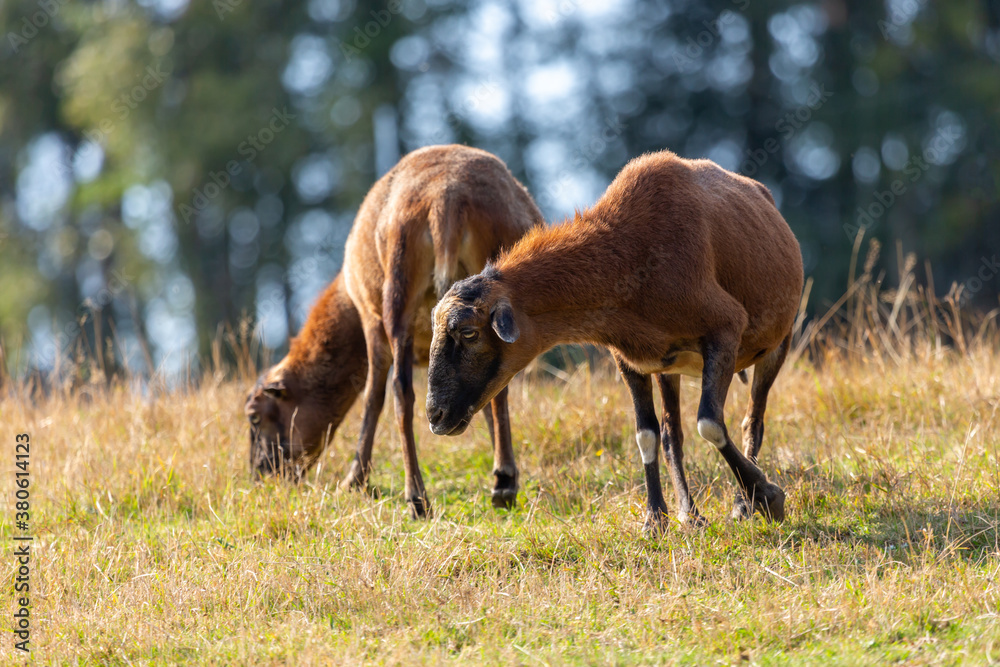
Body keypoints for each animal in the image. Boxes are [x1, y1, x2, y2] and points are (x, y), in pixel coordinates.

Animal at [246, 146, 544, 516]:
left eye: (253, 417)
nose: (260, 475)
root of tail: (445, 199)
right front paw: (501, 467)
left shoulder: (371, 324)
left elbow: (372, 397)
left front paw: (355, 479)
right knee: (497, 387)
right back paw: (504, 484)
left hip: (397, 291)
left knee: (401, 392)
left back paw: (416, 496)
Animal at [426, 150, 800, 532]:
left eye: (468, 332)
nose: (435, 416)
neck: (630, 255)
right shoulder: (630, 361)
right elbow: (647, 435)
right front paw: (655, 519)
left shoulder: (726, 328)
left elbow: (710, 423)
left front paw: (767, 497)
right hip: (670, 367)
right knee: (673, 434)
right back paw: (690, 514)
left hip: (775, 346)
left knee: (752, 421)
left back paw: (742, 504)